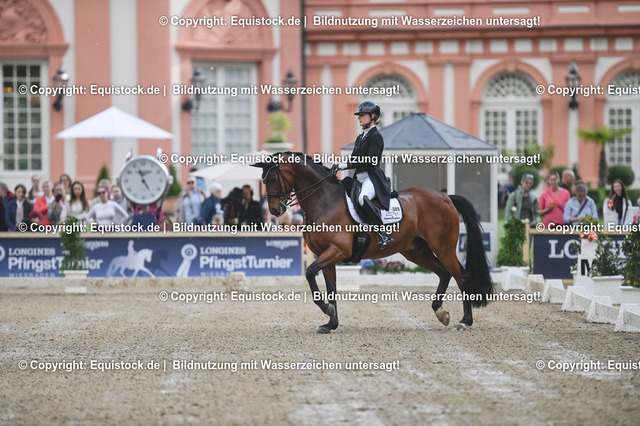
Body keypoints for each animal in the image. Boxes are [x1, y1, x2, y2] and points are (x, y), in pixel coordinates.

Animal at [252, 152, 494, 333]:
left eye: (272, 178)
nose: (275, 210)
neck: (324, 201)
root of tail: (445, 197)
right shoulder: (327, 256)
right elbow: (331, 289)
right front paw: (331, 322)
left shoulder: (337, 251)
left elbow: (310, 272)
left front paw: (327, 310)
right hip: (416, 251)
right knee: (444, 273)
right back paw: (440, 312)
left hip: (443, 248)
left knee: (461, 276)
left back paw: (465, 321)